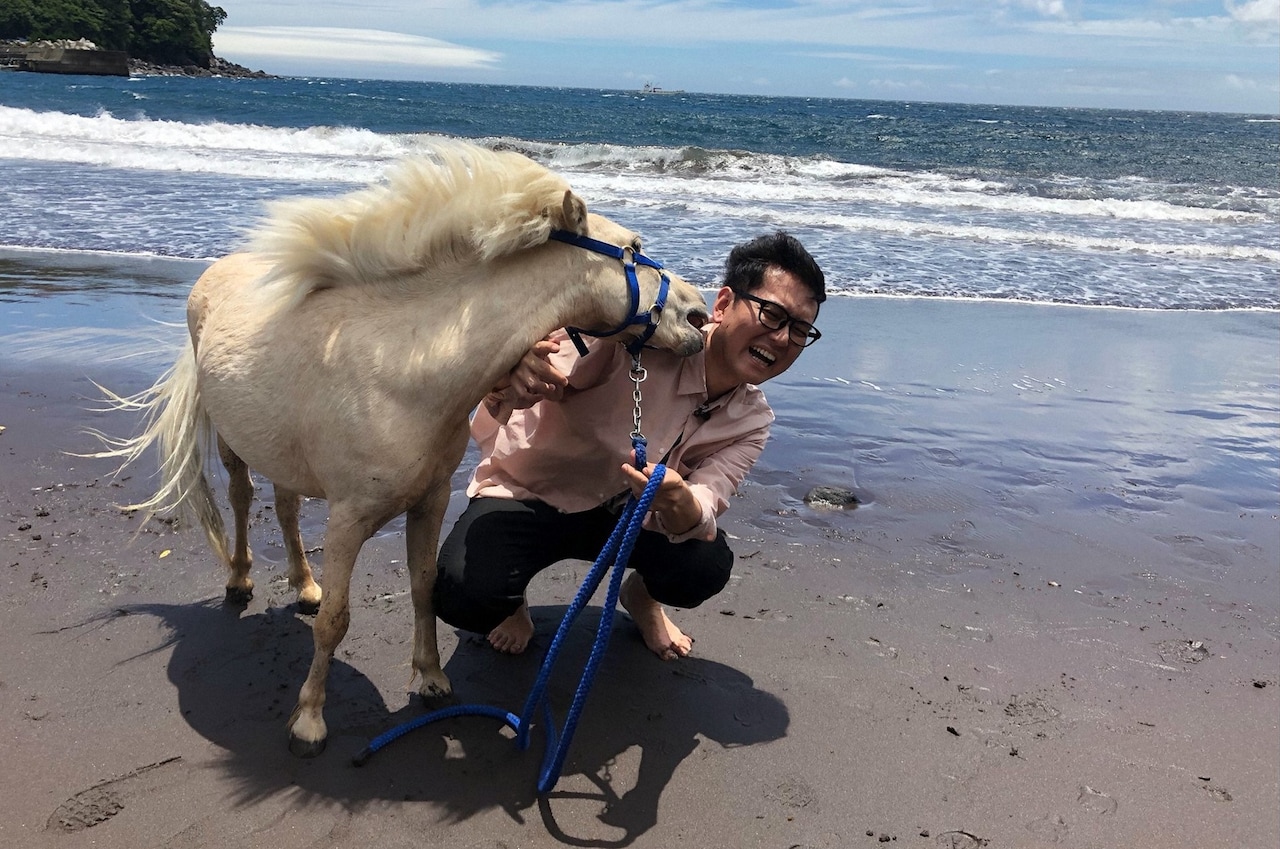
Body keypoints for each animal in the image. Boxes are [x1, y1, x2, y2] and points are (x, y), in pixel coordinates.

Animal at [95, 141, 709, 756]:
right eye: (635, 248)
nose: (699, 314)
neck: (404, 374)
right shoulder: (347, 519)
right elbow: (336, 620)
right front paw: (309, 721)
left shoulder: (429, 502)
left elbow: (422, 588)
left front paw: (432, 679)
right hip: (232, 442)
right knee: (243, 500)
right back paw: (241, 579)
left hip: (285, 456)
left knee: (288, 510)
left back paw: (304, 585)